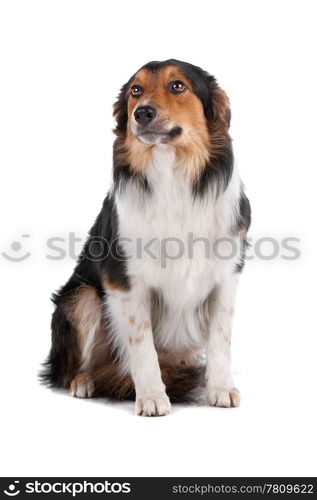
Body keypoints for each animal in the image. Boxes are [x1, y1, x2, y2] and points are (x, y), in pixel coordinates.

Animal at [41, 58, 249, 416]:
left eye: (177, 85)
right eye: (135, 90)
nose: (142, 112)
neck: (172, 174)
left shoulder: (226, 276)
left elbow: (221, 338)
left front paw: (221, 388)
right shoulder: (125, 281)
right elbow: (142, 345)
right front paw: (152, 396)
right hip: (80, 298)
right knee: (70, 368)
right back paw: (85, 381)